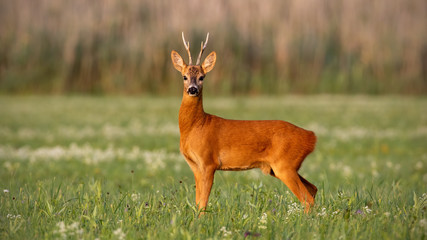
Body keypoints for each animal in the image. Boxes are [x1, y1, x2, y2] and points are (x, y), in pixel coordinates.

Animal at [171, 32, 318, 214]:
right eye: (184, 76)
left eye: (201, 77)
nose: (192, 89)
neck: (196, 126)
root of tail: (311, 137)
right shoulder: (195, 166)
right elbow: (198, 202)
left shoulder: (208, 162)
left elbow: (203, 204)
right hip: (282, 167)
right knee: (313, 189)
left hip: (285, 165)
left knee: (307, 199)